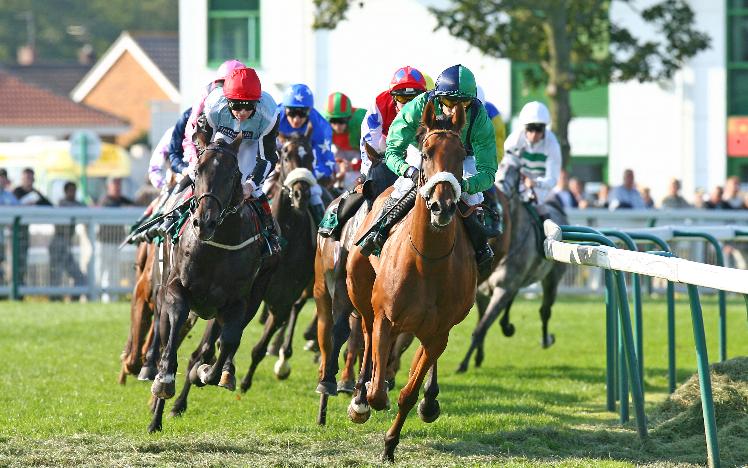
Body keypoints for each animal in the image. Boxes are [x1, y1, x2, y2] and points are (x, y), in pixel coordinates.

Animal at [148, 131, 268, 432]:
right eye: (197, 170)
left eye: (233, 173)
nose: (205, 222)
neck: (216, 246)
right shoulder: (176, 289)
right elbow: (175, 329)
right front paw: (164, 381)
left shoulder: (237, 302)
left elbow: (228, 342)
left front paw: (205, 373)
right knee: (167, 338)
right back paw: (155, 413)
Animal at [346, 100, 476, 462]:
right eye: (427, 153)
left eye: (462, 154)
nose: (443, 206)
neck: (428, 261)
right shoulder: (386, 318)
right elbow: (378, 392)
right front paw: (367, 398)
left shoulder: (438, 333)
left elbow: (409, 391)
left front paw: (390, 444)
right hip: (359, 289)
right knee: (364, 332)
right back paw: (359, 395)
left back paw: (428, 400)